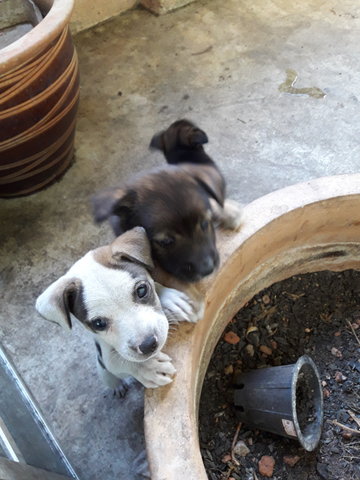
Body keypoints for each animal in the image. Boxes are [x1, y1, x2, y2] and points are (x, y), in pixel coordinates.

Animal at [35, 228, 202, 390]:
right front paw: (148, 368)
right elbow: (120, 360)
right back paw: (118, 387)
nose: (148, 345)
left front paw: (171, 300)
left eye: (142, 290)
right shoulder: (106, 354)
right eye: (99, 324)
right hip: (102, 370)